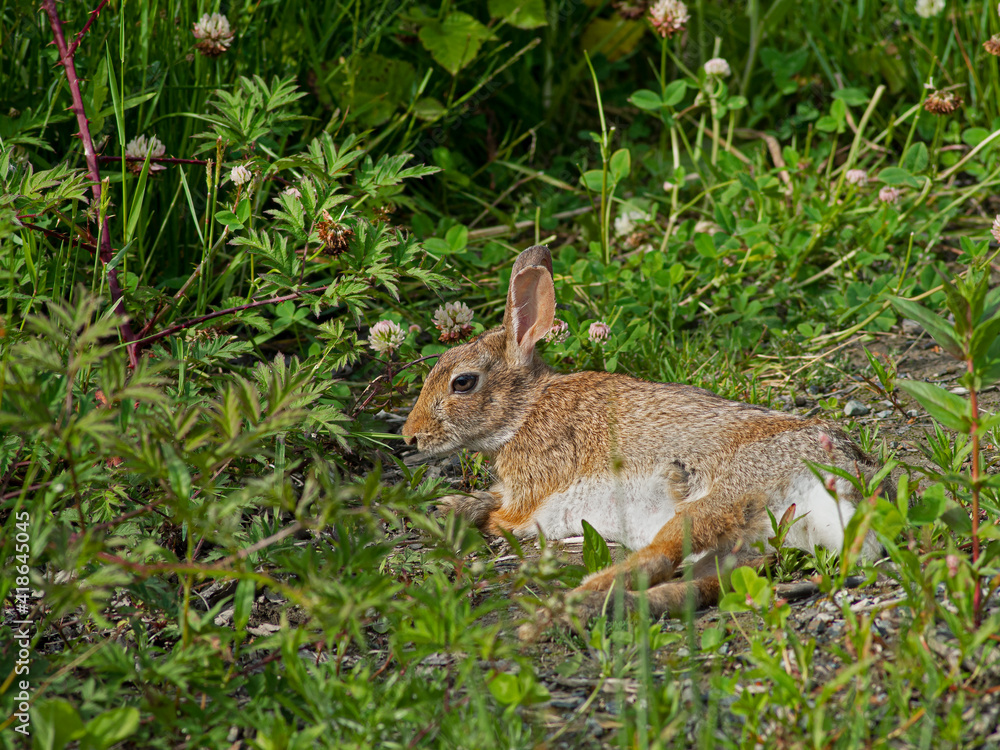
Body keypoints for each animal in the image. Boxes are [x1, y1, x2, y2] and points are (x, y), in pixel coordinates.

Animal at [402, 245, 889, 626]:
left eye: (463, 383)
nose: (409, 437)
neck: (526, 409)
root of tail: (841, 478)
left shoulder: (531, 491)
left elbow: (503, 514)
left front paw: (460, 513)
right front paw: (447, 508)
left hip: (719, 498)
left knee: (655, 559)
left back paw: (569, 606)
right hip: (743, 543)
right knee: (699, 585)